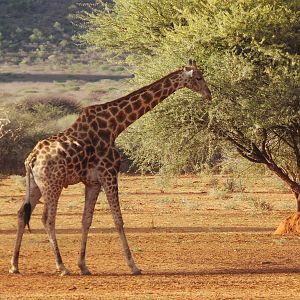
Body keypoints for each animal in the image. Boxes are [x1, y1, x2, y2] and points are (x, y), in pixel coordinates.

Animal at [9, 59, 211, 276]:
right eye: (199, 77)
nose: (209, 94)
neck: (115, 125)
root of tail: (32, 158)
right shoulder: (110, 174)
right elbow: (118, 220)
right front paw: (133, 265)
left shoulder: (93, 182)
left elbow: (86, 220)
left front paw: (83, 265)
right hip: (52, 185)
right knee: (47, 219)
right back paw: (61, 266)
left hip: (35, 185)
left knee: (21, 214)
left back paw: (14, 265)